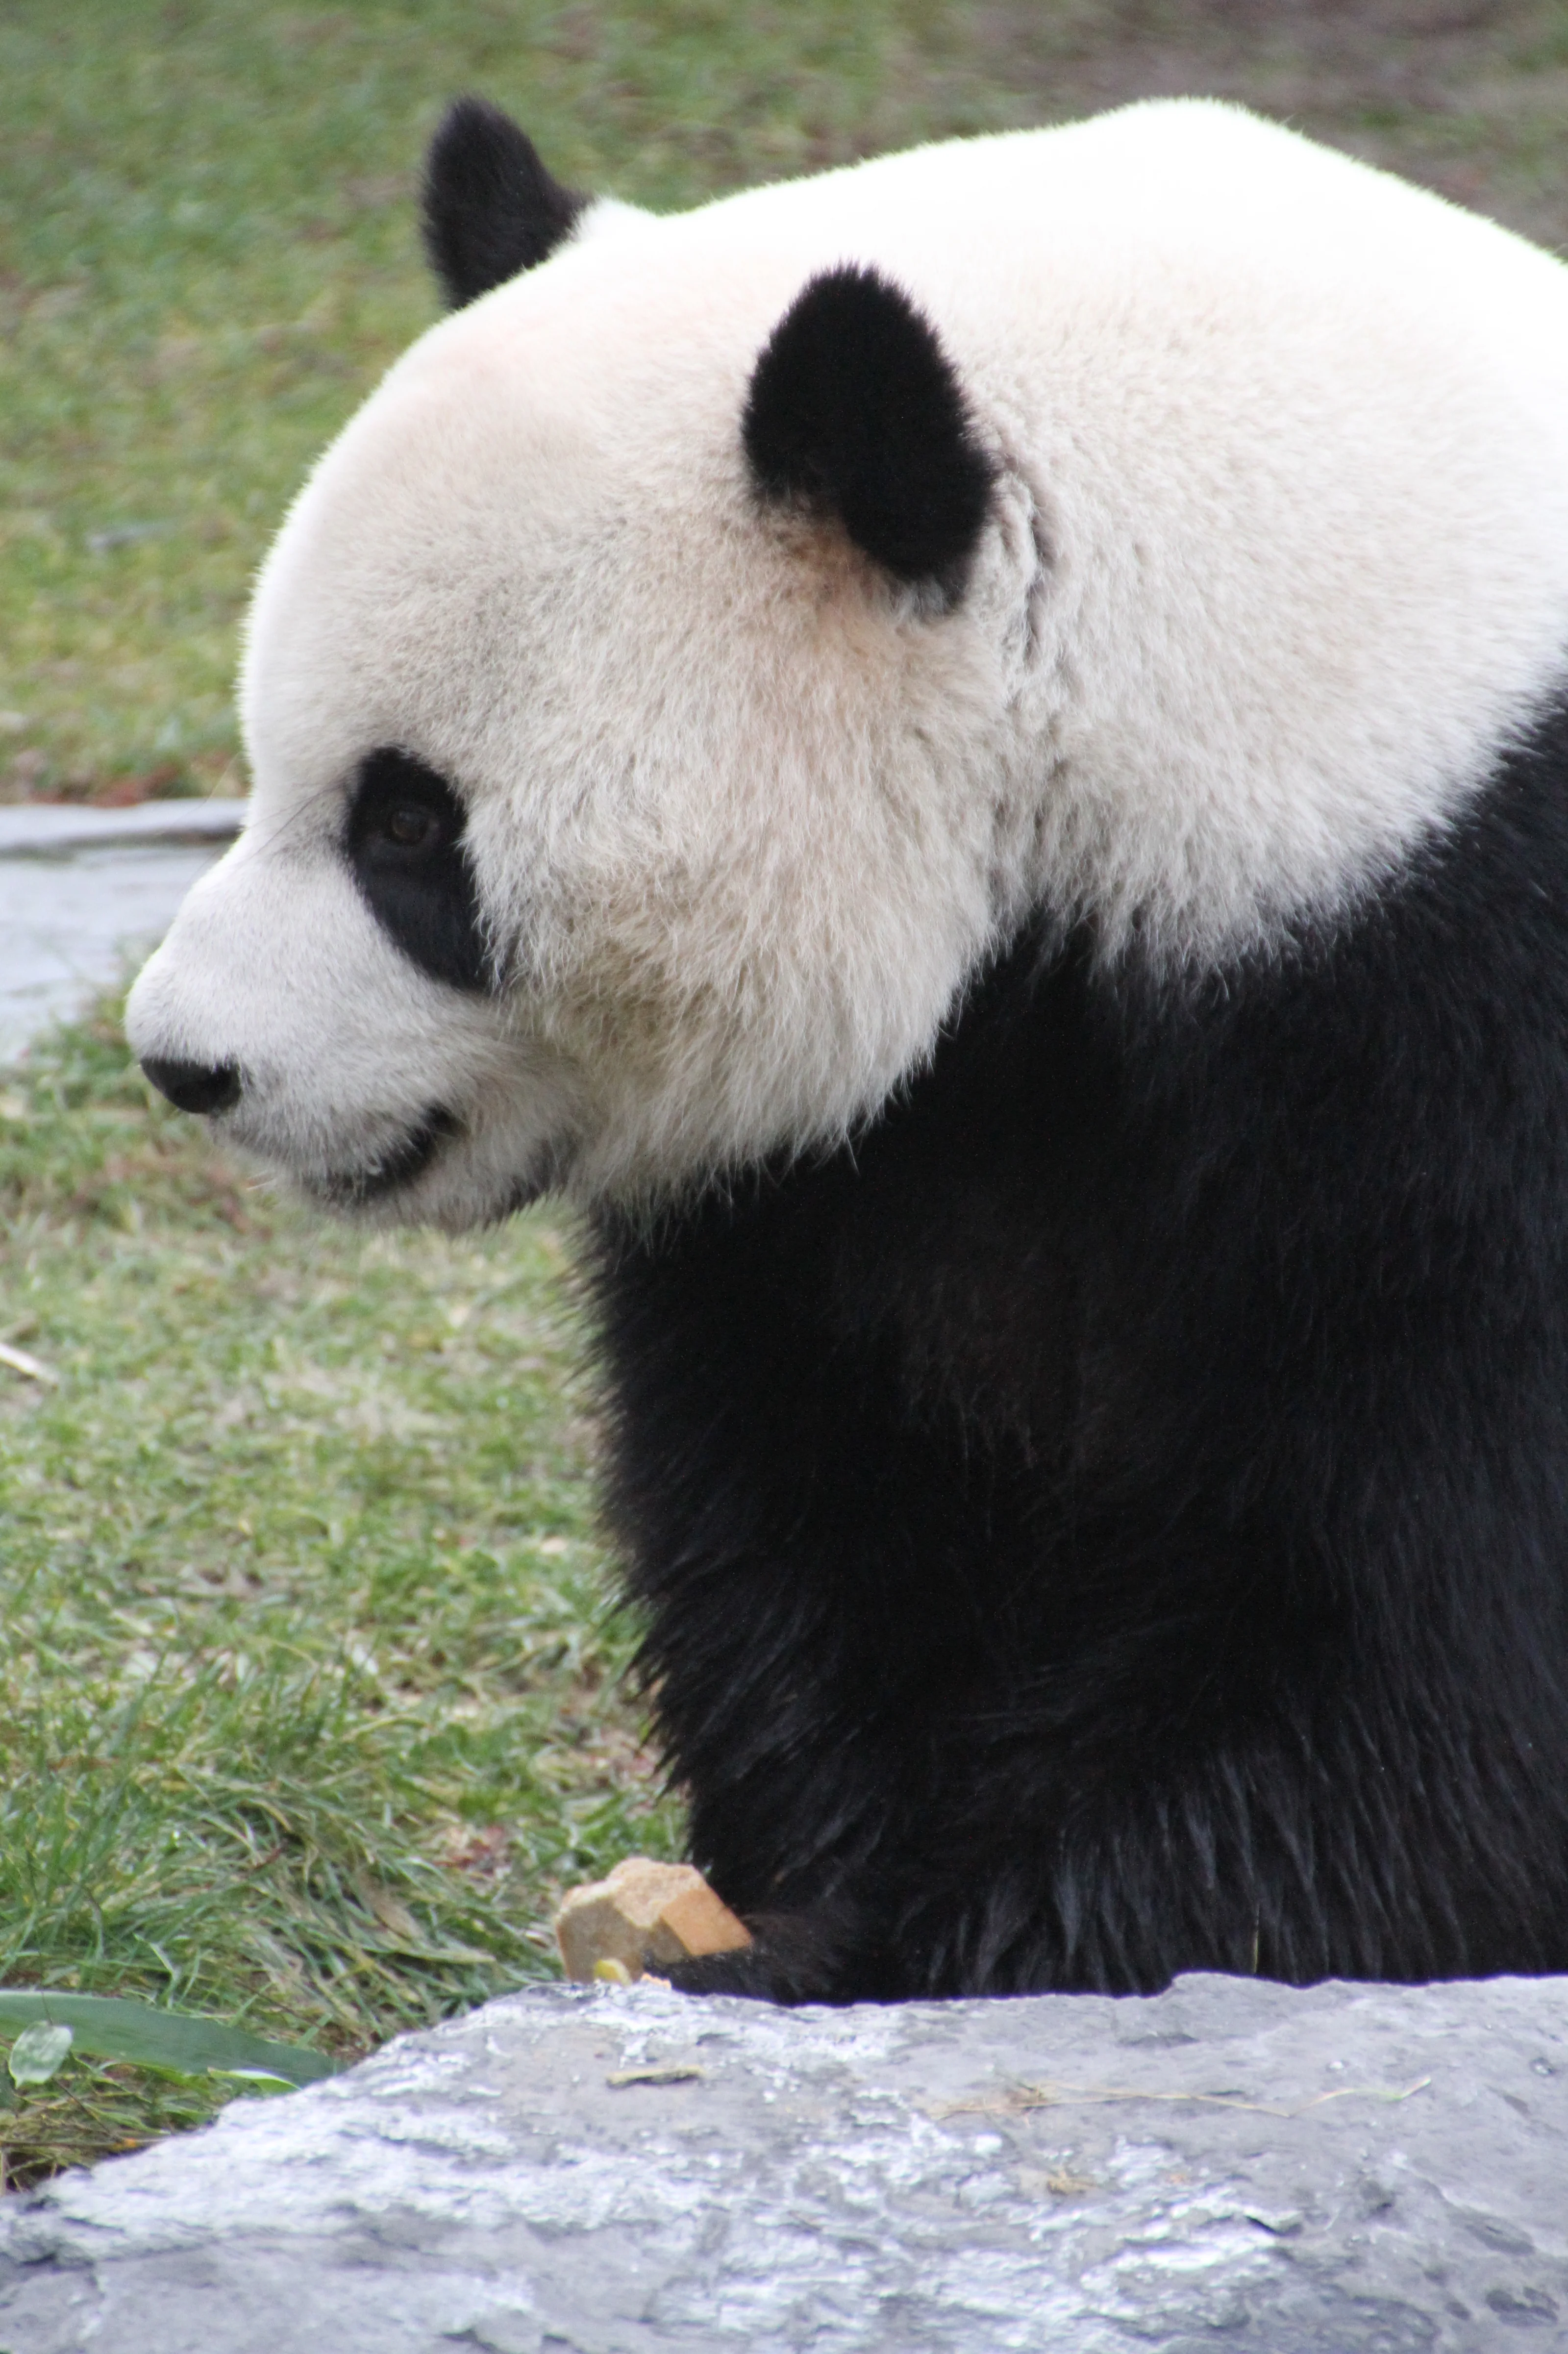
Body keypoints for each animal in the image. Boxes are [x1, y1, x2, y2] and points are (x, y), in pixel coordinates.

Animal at [128, 94, 1568, 2003]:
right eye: (265, 762)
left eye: (409, 828)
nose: (184, 1060)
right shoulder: (874, 1151)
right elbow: (832, 1511)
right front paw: (795, 1894)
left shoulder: (1456, 1016)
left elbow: (1426, 1659)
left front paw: (865, 1955)